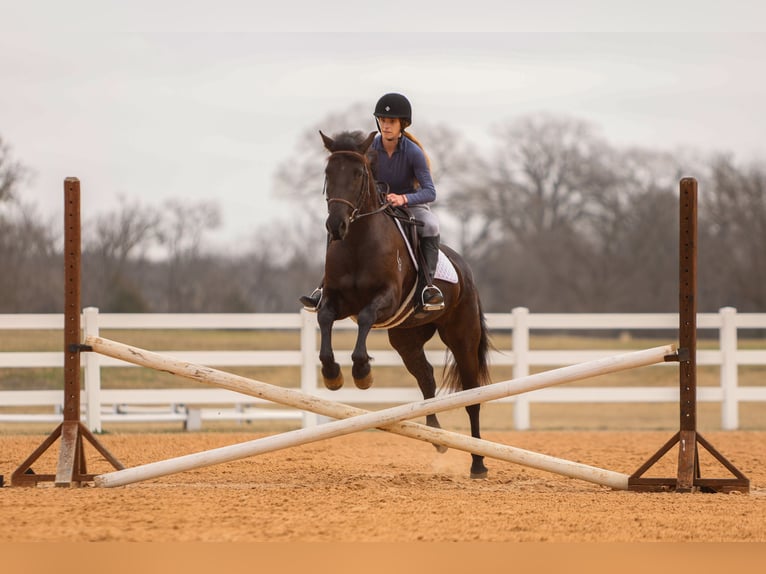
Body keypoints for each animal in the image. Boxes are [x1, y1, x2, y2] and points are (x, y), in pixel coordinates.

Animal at [316, 128, 492, 480]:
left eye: (358, 174)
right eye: (328, 173)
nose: (336, 226)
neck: (357, 242)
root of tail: (464, 268)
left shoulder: (385, 300)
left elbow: (366, 317)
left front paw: (362, 372)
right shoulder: (336, 300)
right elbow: (325, 317)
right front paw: (332, 374)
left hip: (462, 337)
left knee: (471, 394)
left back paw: (478, 462)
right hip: (406, 337)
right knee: (426, 377)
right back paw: (436, 436)